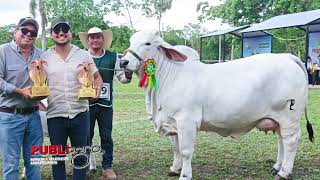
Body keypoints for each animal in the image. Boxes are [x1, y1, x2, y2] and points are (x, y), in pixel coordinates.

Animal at [119, 30, 312, 180]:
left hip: (289, 116)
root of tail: (287, 57)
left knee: (291, 140)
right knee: (281, 140)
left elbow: (186, 150)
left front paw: (185, 174)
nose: (123, 62)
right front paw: (174, 169)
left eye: (147, 43)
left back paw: (284, 173)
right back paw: (277, 167)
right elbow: (176, 148)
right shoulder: (172, 122)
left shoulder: (186, 121)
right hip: (278, 119)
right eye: (131, 41)